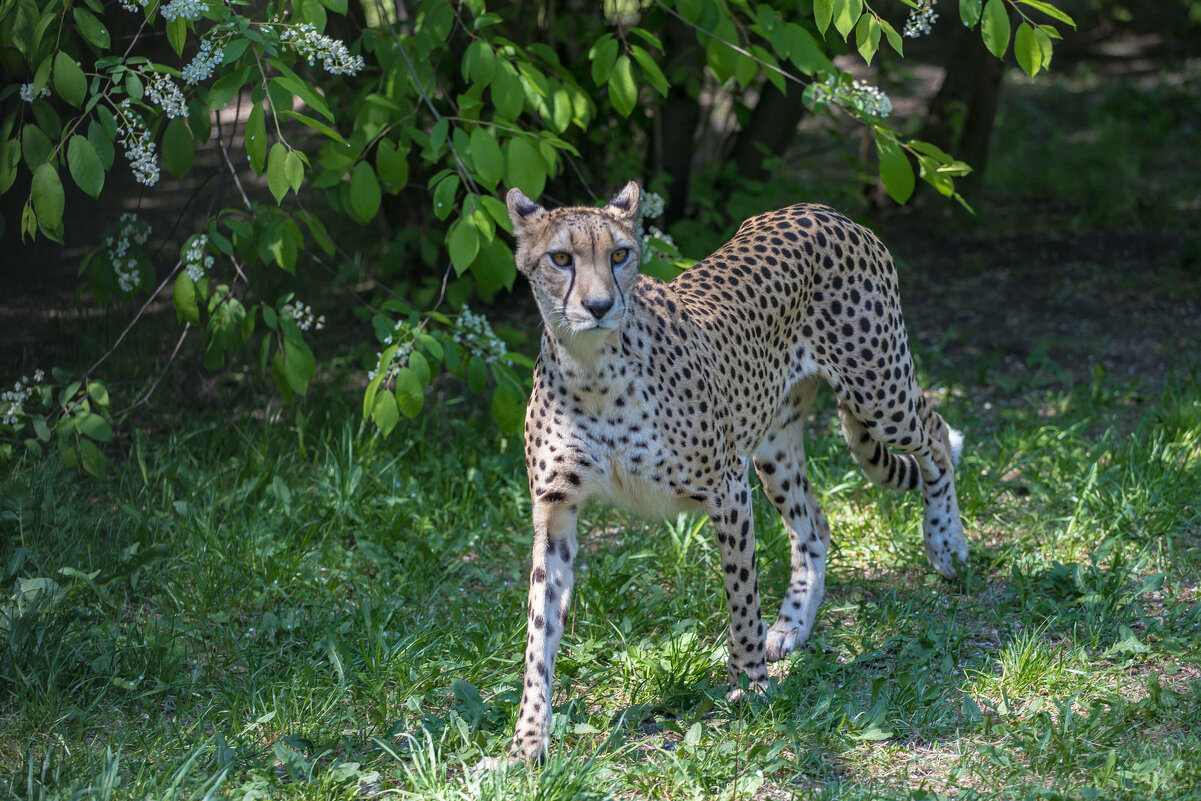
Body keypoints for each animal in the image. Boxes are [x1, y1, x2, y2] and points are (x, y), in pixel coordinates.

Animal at [487, 180, 965, 763]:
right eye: (561, 259)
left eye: (619, 255)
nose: (599, 306)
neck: (593, 369)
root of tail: (819, 209)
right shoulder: (556, 511)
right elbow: (540, 632)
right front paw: (527, 740)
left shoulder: (726, 490)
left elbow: (740, 596)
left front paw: (751, 686)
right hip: (774, 447)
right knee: (815, 525)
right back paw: (791, 625)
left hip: (879, 394)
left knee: (937, 435)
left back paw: (945, 543)